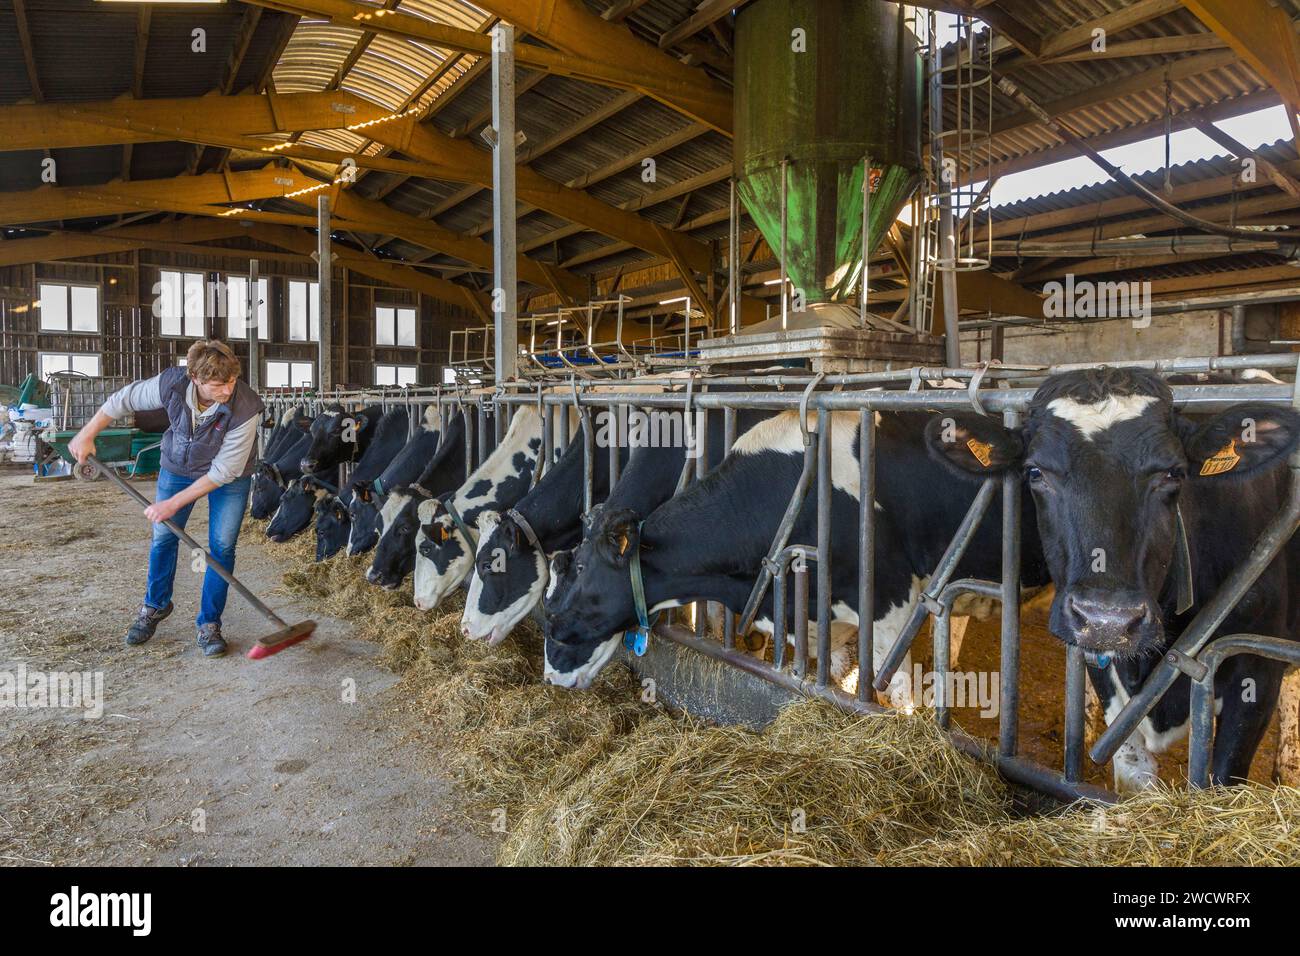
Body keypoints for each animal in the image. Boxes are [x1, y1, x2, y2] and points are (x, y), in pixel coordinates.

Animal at [930, 364, 1294, 785]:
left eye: (1174, 473)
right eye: (1035, 472)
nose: (1108, 620)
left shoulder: (1256, 671)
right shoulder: (1099, 663)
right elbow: (1134, 773)